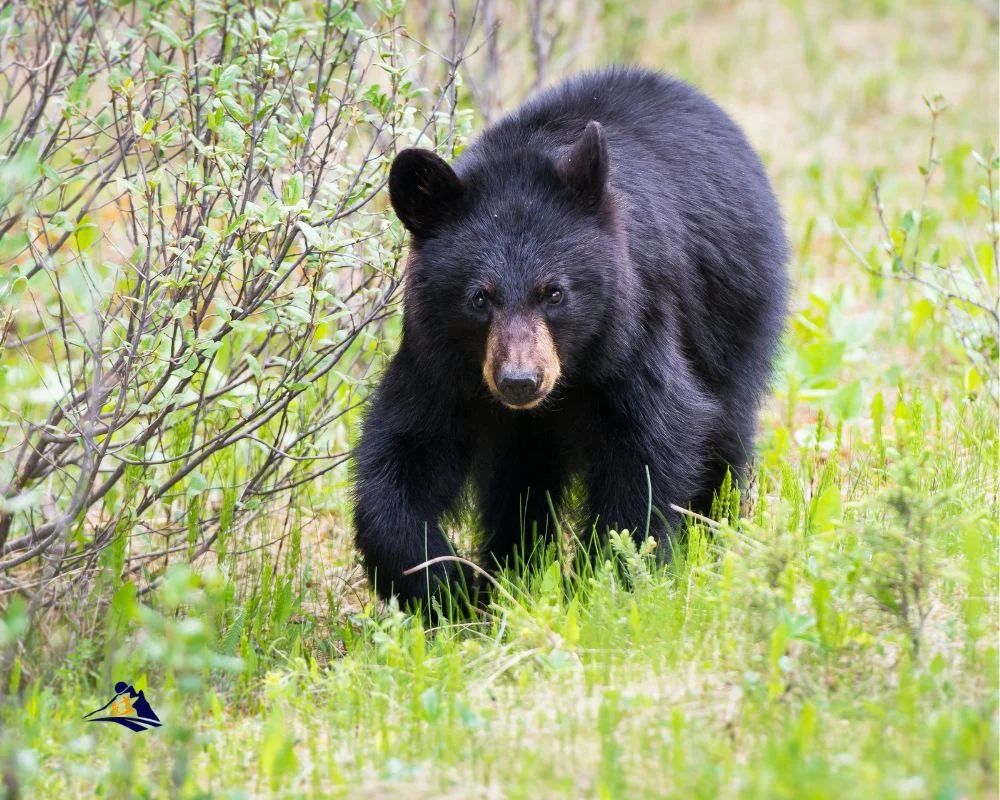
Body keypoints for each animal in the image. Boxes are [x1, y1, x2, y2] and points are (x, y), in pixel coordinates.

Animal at [354, 67, 788, 608]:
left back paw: (713, 538)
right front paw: (443, 585)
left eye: (555, 293)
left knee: (725, 431)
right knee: (518, 483)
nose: (520, 381)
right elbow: (406, 450)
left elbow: (650, 443)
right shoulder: (440, 358)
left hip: (733, 315)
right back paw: (510, 571)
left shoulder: (633, 327)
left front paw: (607, 582)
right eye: (479, 298)